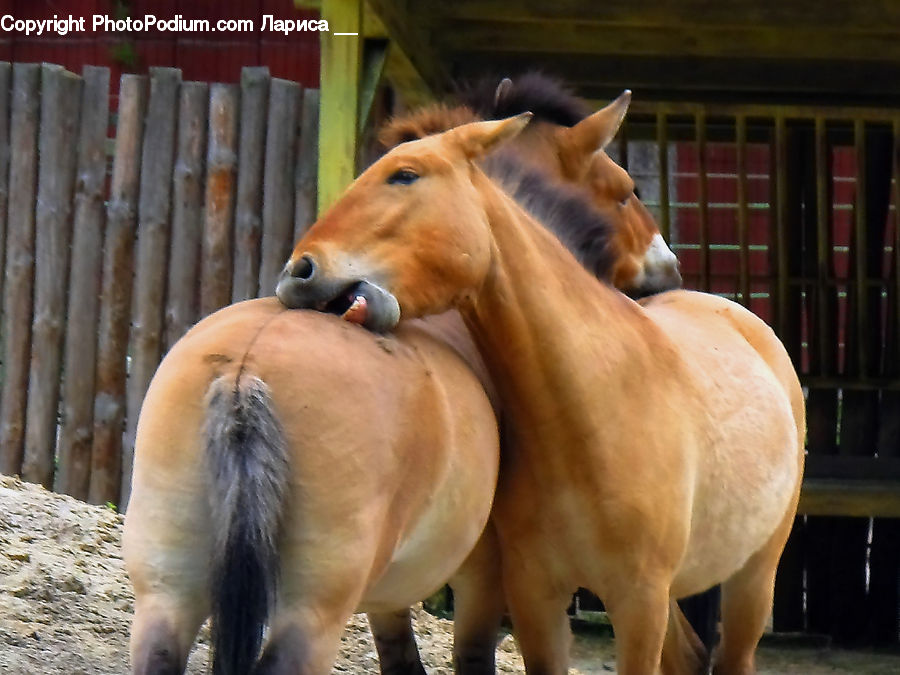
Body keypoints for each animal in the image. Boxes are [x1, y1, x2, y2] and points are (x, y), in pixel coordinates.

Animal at [125, 90, 684, 675]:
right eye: (624, 190)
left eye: (401, 175)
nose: (669, 268)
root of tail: (244, 371)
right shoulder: (485, 575)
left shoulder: (387, 598)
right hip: (312, 609)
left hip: (166, 594)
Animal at [278, 117, 804, 675]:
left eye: (405, 175)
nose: (298, 273)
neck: (589, 414)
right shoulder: (535, 596)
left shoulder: (638, 601)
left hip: (753, 579)